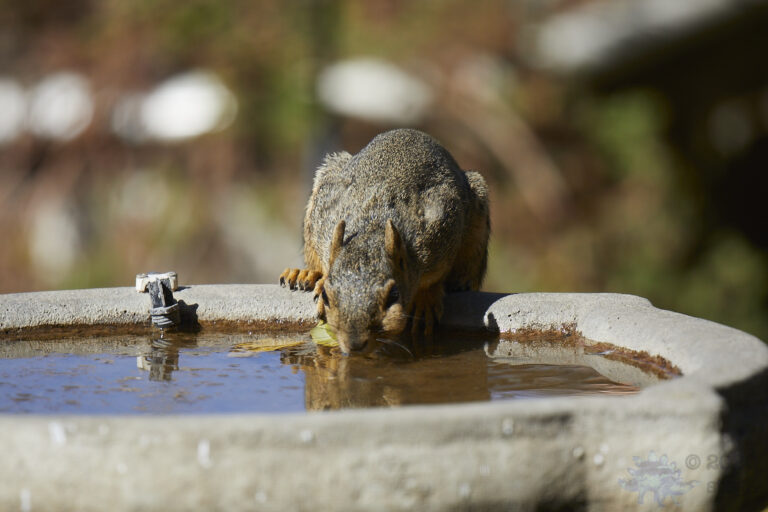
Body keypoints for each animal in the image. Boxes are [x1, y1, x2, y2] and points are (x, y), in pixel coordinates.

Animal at [280, 128, 490, 353]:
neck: (372, 224)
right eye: (327, 296)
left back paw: (462, 283)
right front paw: (321, 280)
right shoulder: (324, 214)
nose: (354, 344)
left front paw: (425, 299)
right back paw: (305, 274)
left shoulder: (443, 227)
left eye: (394, 295)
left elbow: (434, 278)